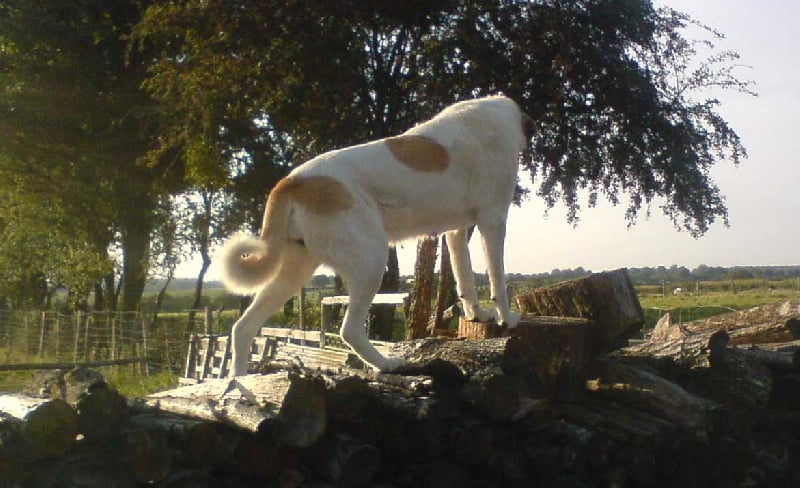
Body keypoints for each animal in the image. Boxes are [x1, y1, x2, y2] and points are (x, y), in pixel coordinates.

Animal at [220, 96, 532, 378]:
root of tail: (292, 181)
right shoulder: (492, 220)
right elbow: (497, 276)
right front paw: (506, 318)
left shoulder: (456, 231)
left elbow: (464, 275)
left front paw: (477, 314)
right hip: (370, 260)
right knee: (349, 330)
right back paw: (387, 364)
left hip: (294, 272)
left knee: (242, 327)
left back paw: (238, 382)